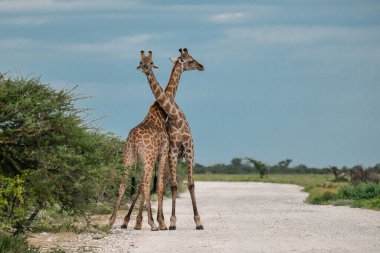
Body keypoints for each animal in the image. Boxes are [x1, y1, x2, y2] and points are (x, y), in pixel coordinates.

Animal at [139, 49, 206, 231]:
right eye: (190, 60)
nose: (201, 66)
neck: (176, 117)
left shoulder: (189, 151)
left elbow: (190, 184)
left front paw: (198, 222)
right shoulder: (173, 152)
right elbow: (175, 185)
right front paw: (172, 221)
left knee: (158, 183)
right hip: (163, 160)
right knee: (155, 183)